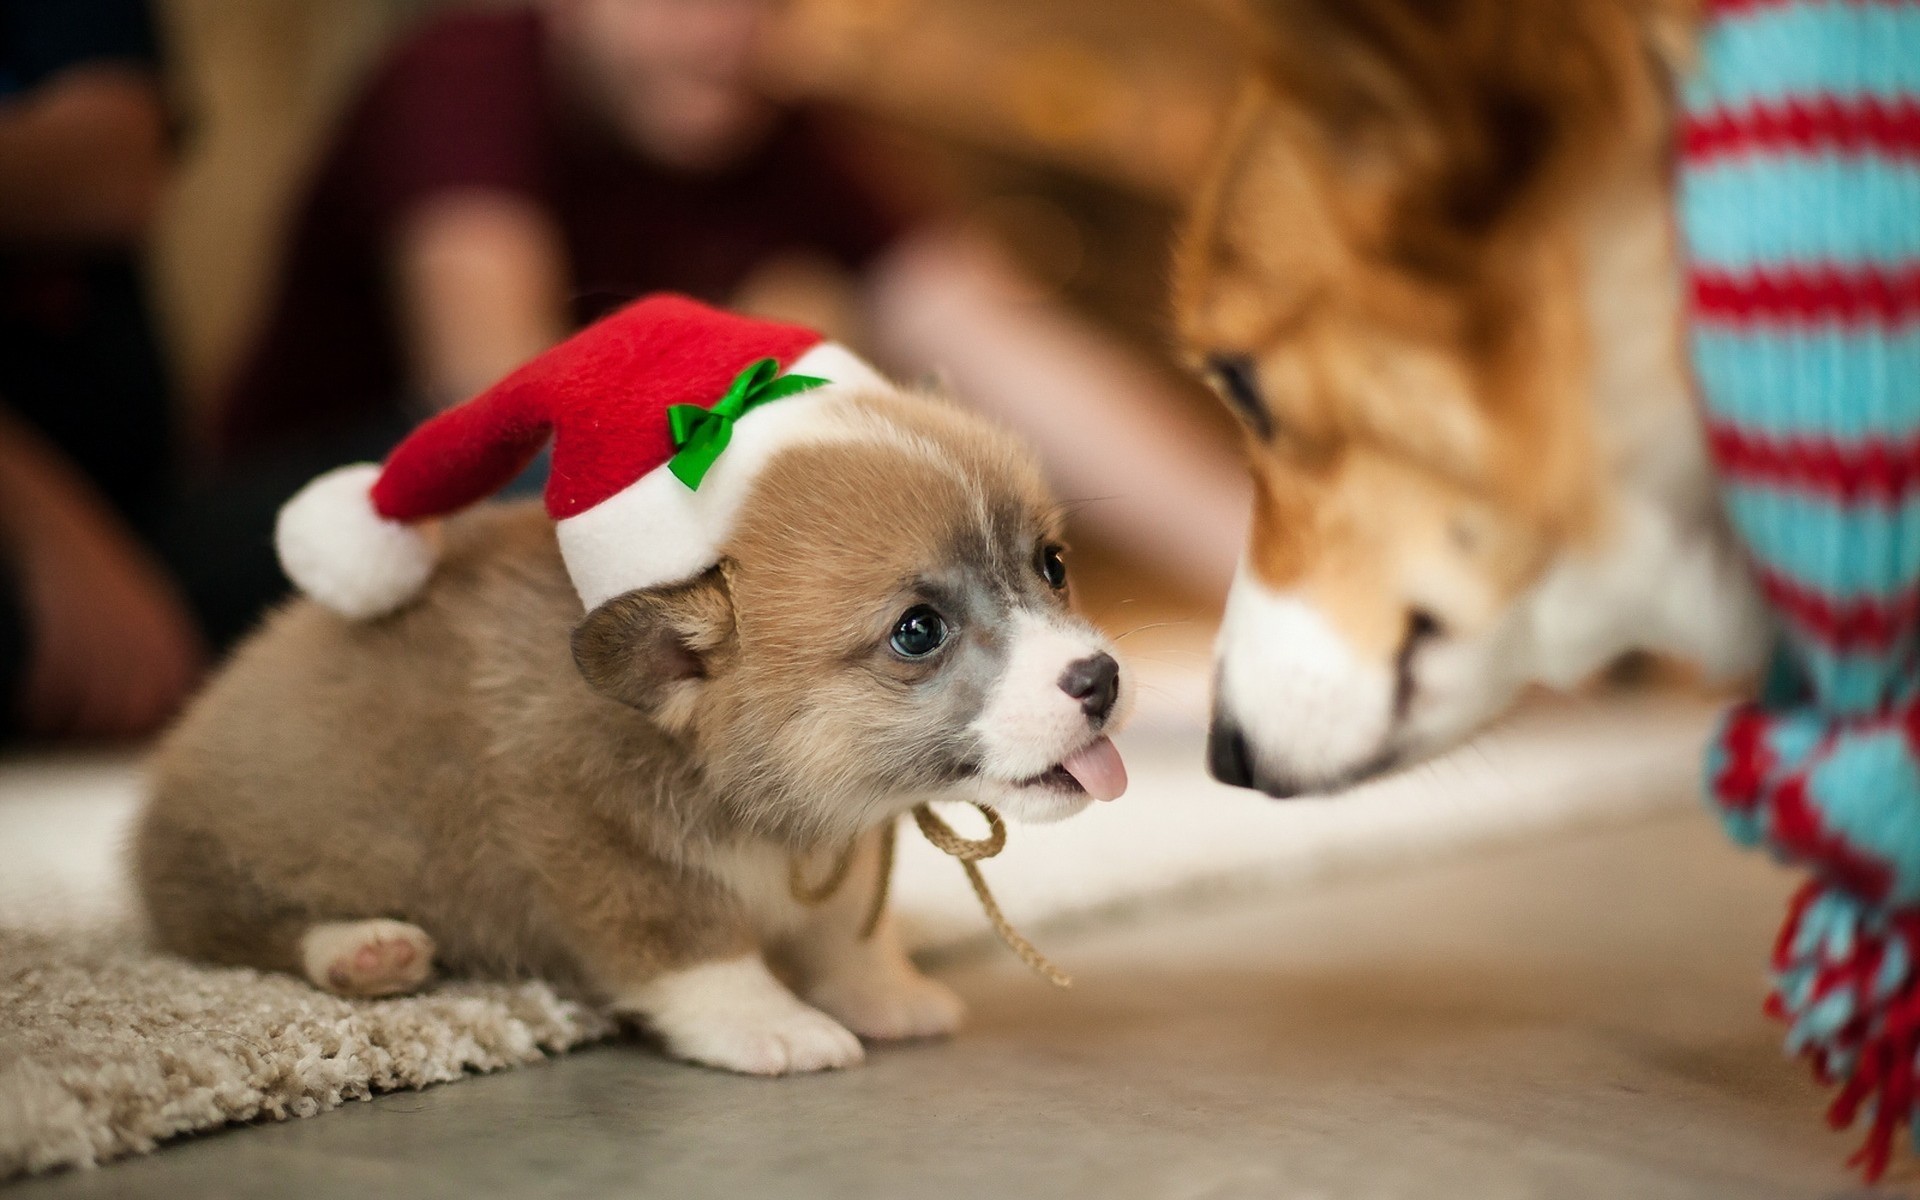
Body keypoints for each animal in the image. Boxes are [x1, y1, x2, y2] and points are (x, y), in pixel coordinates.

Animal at [135, 387, 1128, 1075]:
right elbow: (693, 948)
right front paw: (774, 1026)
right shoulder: (601, 848)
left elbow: (848, 930)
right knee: (229, 929)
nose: (1103, 680)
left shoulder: (840, 860)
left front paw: (885, 994)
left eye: (1052, 565)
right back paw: (363, 950)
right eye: (918, 631)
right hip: (240, 858)